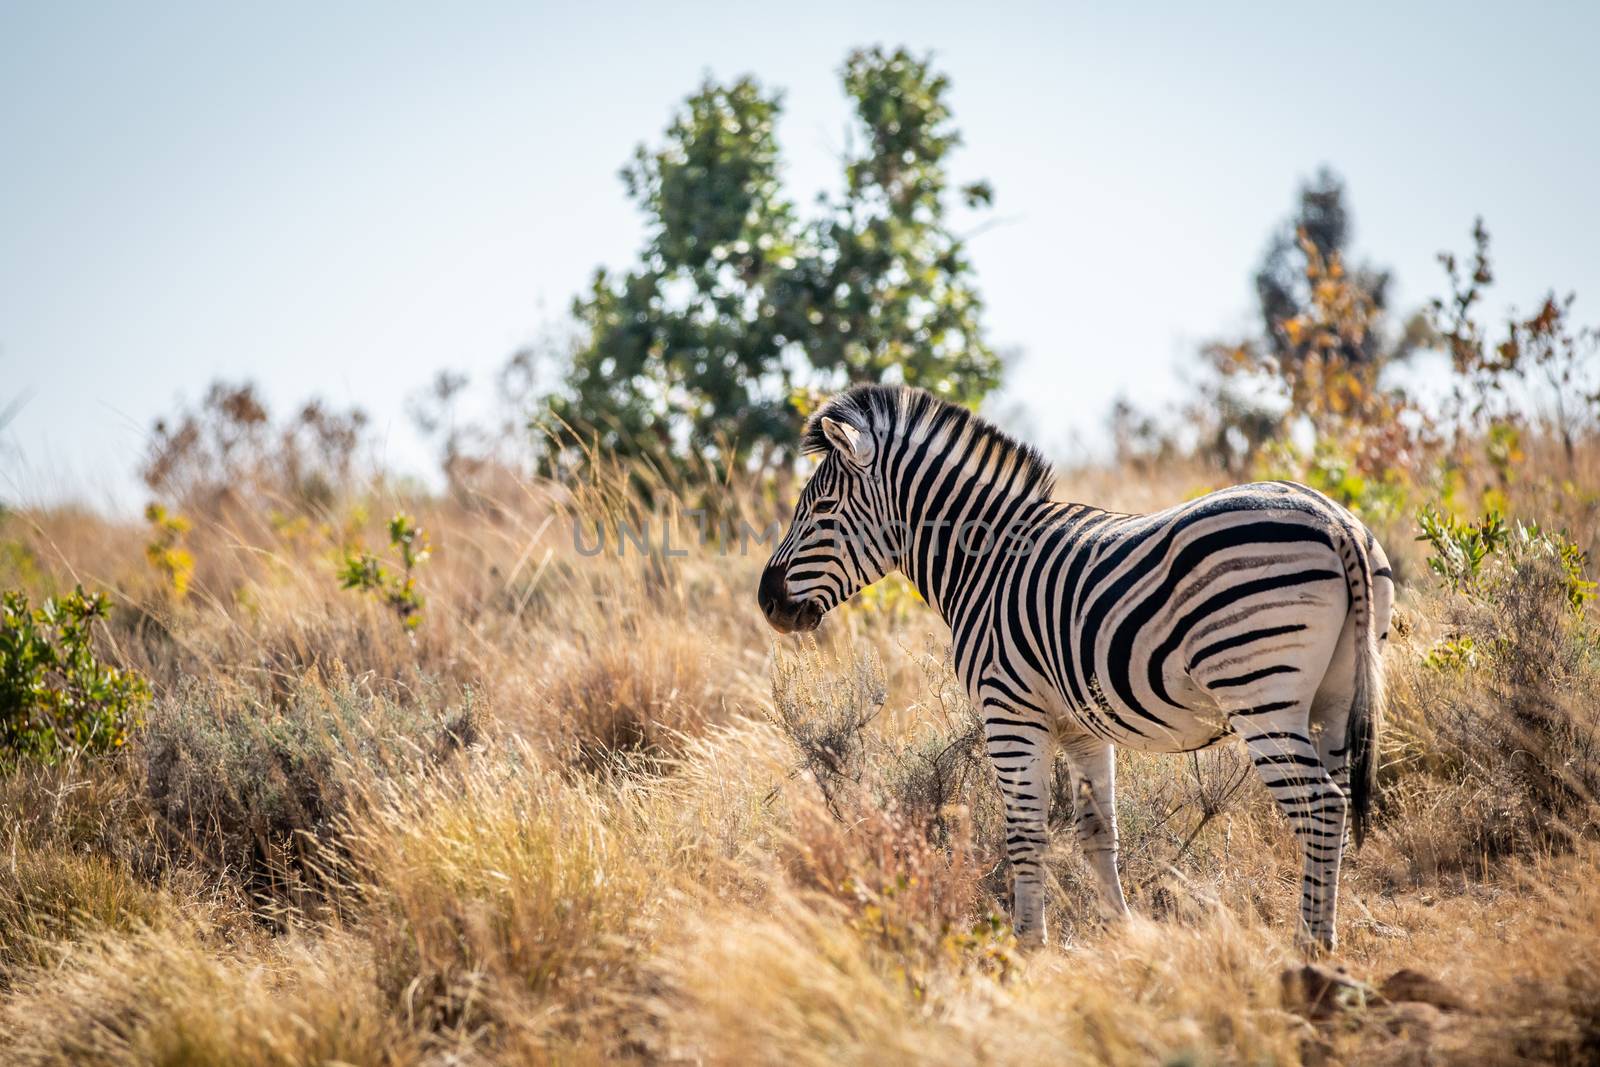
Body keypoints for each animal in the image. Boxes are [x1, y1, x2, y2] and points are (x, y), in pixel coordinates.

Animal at [755, 385, 1395, 953]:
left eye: (822, 509)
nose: (766, 602)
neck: (984, 561)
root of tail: (1334, 519)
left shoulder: (1010, 712)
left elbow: (1024, 834)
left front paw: (1028, 946)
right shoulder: (1082, 727)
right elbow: (1098, 833)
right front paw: (1122, 935)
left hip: (1259, 693)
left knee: (1321, 806)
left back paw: (1309, 947)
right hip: (1335, 696)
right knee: (1337, 805)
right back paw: (1324, 933)